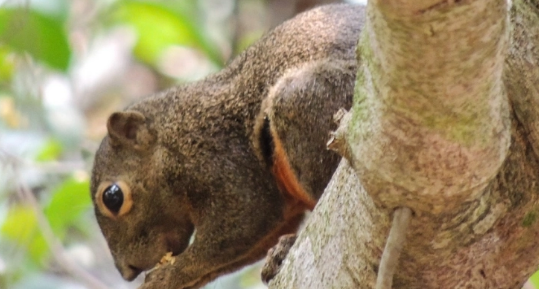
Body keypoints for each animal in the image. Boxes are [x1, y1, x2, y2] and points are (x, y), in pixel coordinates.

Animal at [90, 3, 364, 286]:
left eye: (113, 197)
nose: (127, 271)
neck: (172, 139)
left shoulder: (219, 160)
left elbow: (244, 220)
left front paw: (167, 275)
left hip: (304, 99)